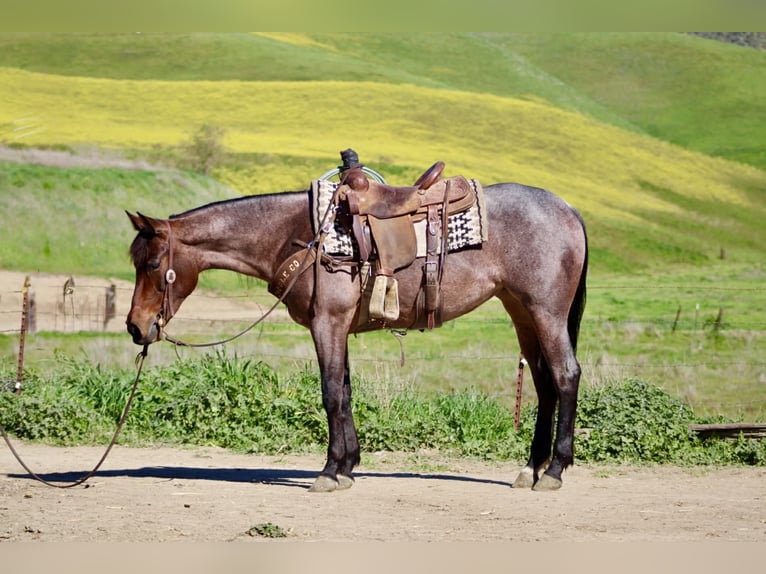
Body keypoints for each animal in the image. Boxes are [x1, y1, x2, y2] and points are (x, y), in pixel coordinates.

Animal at [125, 173, 588, 492]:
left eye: (152, 264)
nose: (135, 326)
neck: (297, 236)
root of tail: (568, 208)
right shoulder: (339, 327)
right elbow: (345, 391)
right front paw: (348, 466)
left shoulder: (327, 323)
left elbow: (330, 392)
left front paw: (330, 471)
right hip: (521, 311)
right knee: (544, 382)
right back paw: (530, 469)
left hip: (546, 311)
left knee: (566, 375)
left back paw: (554, 470)